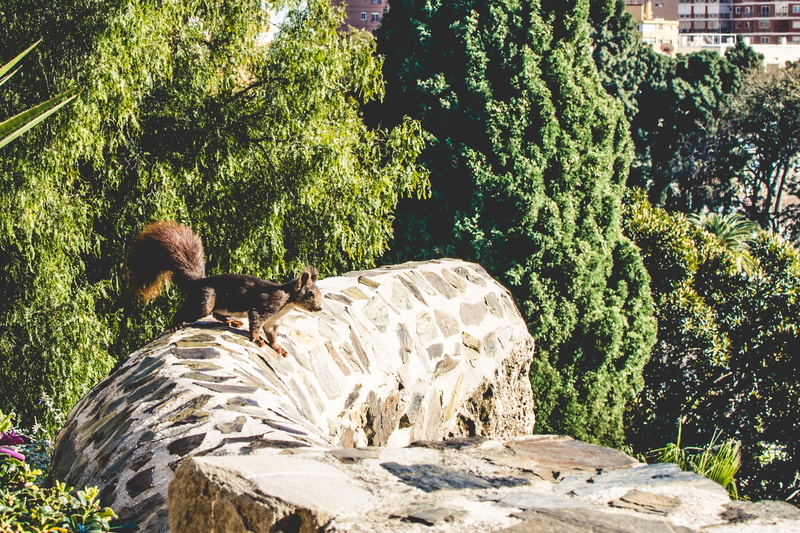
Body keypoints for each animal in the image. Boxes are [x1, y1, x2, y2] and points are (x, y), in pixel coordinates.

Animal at [127, 220, 323, 356]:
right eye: (311, 294)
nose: (319, 308)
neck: (287, 301)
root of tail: (199, 282)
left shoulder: (273, 322)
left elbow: (272, 336)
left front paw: (278, 348)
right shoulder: (266, 305)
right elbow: (256, 322)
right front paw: (257, 339)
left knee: (216, 314)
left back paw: (231, 321)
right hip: (205, 301)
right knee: (192, 311)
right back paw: (176, 323)